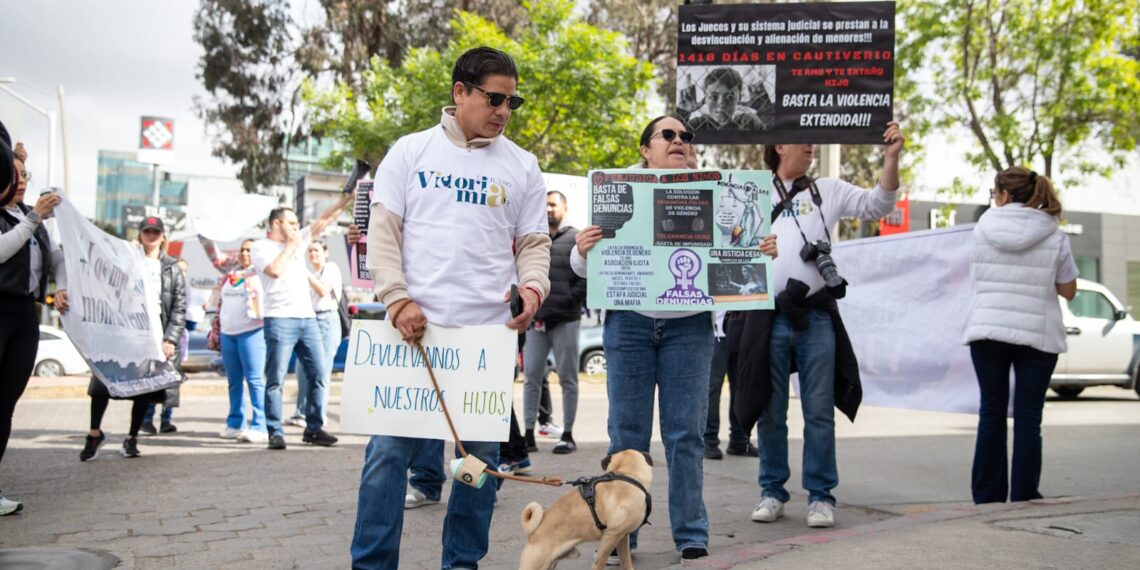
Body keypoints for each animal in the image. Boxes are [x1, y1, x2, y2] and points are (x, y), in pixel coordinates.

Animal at [517, 449, 652, 570]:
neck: (625, 473)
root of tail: (533, 534)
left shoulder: (622, 537)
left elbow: (626, 560)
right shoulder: (611, 536)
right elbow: (599, 563)